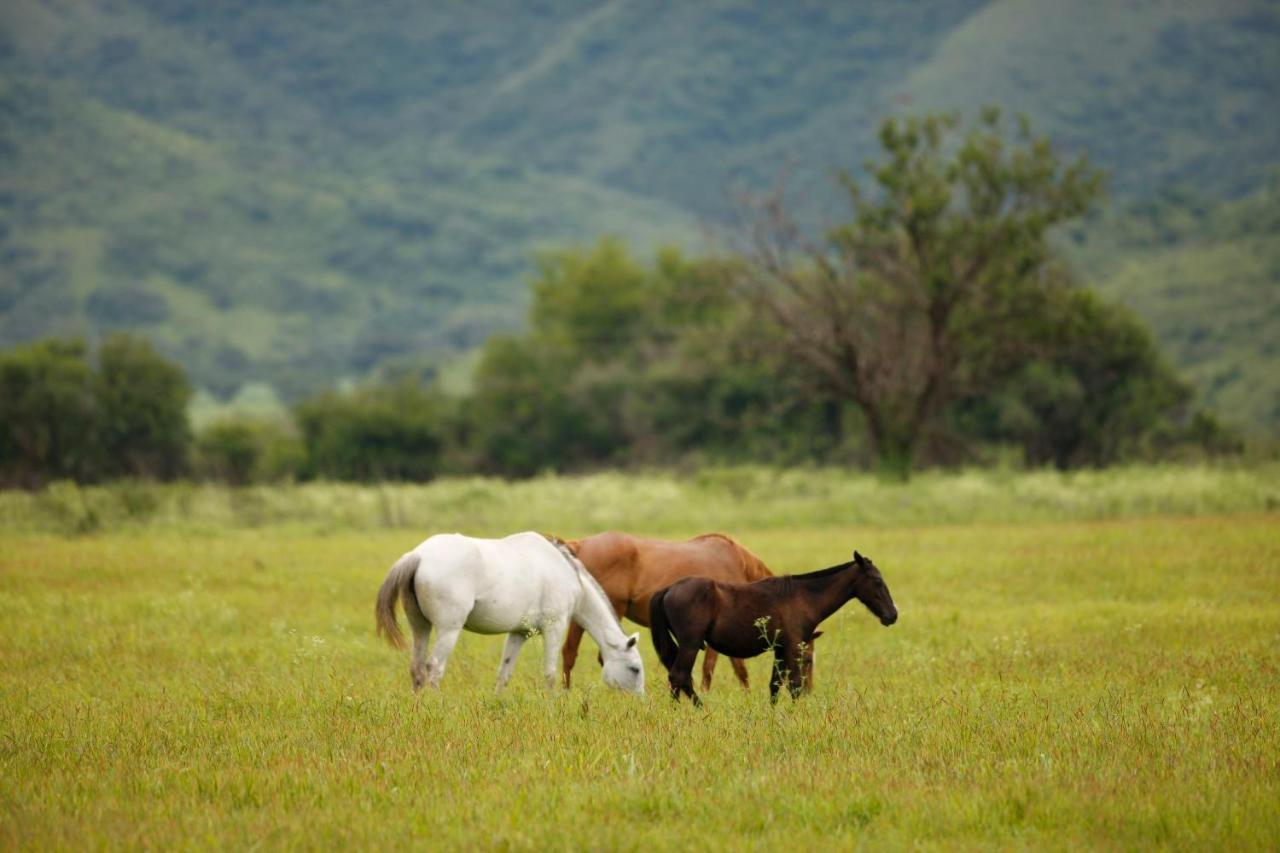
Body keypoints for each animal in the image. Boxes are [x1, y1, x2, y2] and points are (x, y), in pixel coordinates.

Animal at [373, 532, 645, 691]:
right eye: (635, 669)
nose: (639, 702)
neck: (567, 574)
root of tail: (417, 556)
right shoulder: (555, 628)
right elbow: (550, 673)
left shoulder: (519, 633)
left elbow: (504, 673)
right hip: (448, 630)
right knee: (434, 669)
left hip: (420, 626)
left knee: (417, 668)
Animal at [650, 548, 901, 701]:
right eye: (877, 581)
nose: (892, 615)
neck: (803, 597)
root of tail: (669, 589)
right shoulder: (793, 647)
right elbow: (794, 685)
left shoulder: (779, 649)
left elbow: (775, 685)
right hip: (690, 644)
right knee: (679, 676)